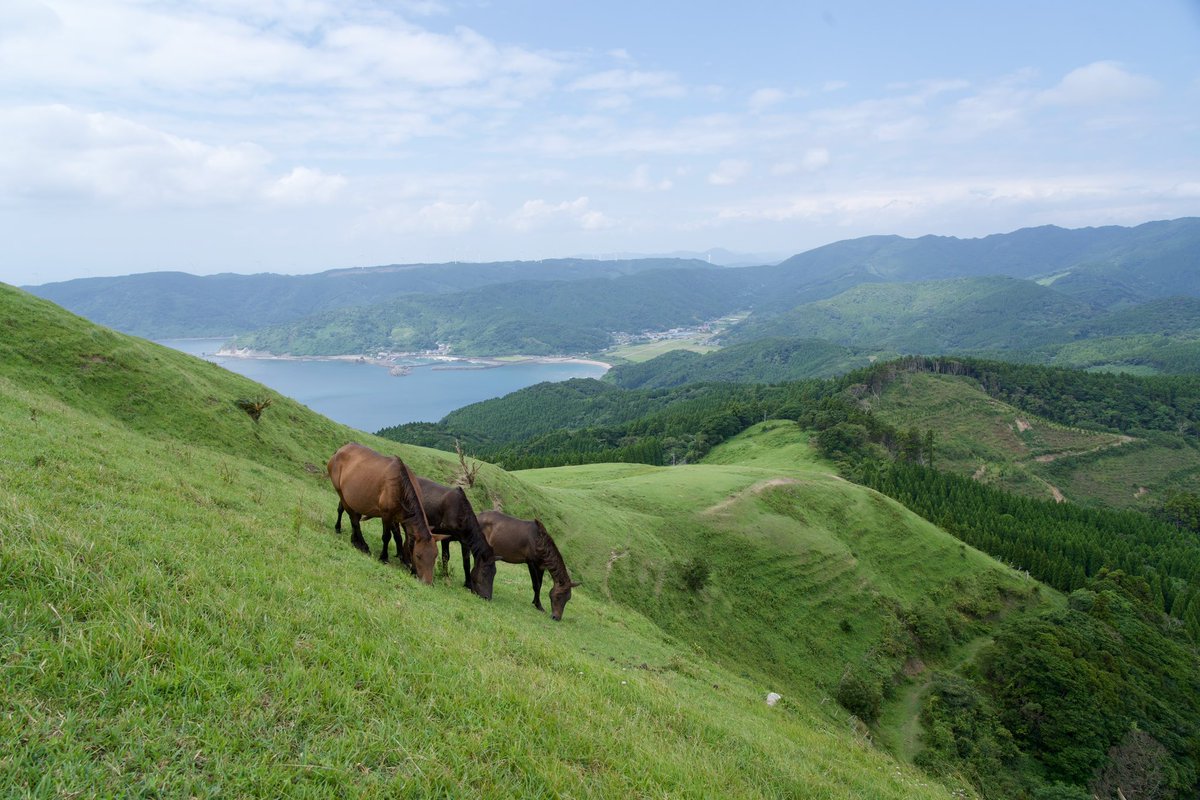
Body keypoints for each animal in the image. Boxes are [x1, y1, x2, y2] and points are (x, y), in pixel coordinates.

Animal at [327, 443, 447, 584]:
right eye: (418, 556)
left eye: (435, 556)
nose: (427, 582)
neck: (400, 486)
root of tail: (340, 450)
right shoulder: (386, 516)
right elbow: (387, 537)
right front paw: (384, 557)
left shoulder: (400, 517)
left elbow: (401, 538)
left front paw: (405, 559)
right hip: (342, 494)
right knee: (354, 520)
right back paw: (361, 543)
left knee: (353, 517)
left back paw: (354, 539)